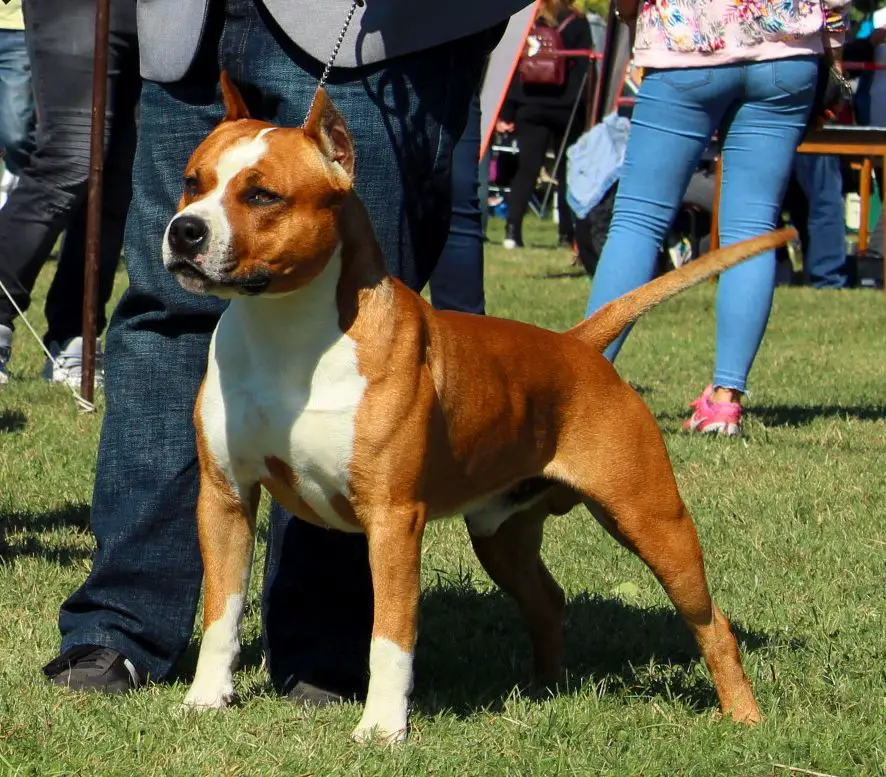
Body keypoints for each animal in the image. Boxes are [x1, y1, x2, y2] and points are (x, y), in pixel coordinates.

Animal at [165, 74, 792, 744]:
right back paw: (546, 689)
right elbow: (222, 609)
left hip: (651, 519)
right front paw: (206, 699)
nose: (184, 230)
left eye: (262, 195)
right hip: (500, 534)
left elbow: (391, 634)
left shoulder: (392, 519)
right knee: (547, 598)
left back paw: (744, 715)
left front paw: (382, 729)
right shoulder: (226, 498)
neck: (285, 331)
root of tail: (578, 345)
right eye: (193, 181)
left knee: (710, 621)